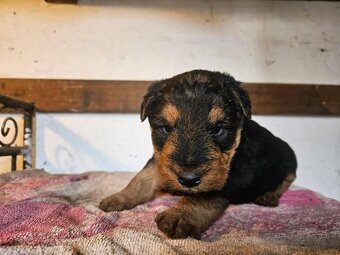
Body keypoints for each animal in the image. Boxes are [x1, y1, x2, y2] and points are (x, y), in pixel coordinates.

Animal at [99, 69, 298, 239]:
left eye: (218, 129)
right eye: (166, 128)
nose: (188, 179)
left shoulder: (230, 176)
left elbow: (201, 197)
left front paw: (179, 216)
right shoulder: (161, 159)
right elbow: (142, 177)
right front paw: (118, 198)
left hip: (289, 160)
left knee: (285, 181)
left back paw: (268, 196)